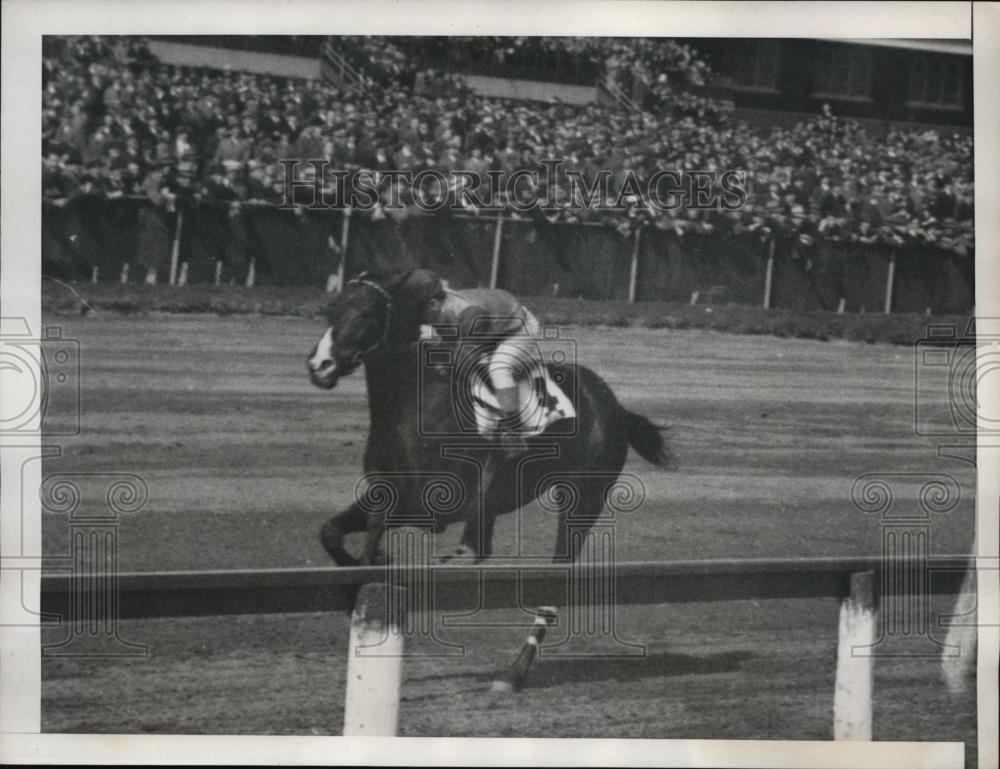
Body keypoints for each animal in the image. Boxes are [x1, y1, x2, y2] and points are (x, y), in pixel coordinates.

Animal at [304, 268, 664, 688]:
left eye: (365, 315)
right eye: (331, 310)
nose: (319, 366)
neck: (416, 404)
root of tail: (616, 406)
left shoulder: (428, 506)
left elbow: (373, 540)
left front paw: (371, 569)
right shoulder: (383, 493)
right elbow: (331, 531)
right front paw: (373, 565)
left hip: (583, 499)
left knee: (554, 579)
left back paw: (516, 671)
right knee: (480, 546)